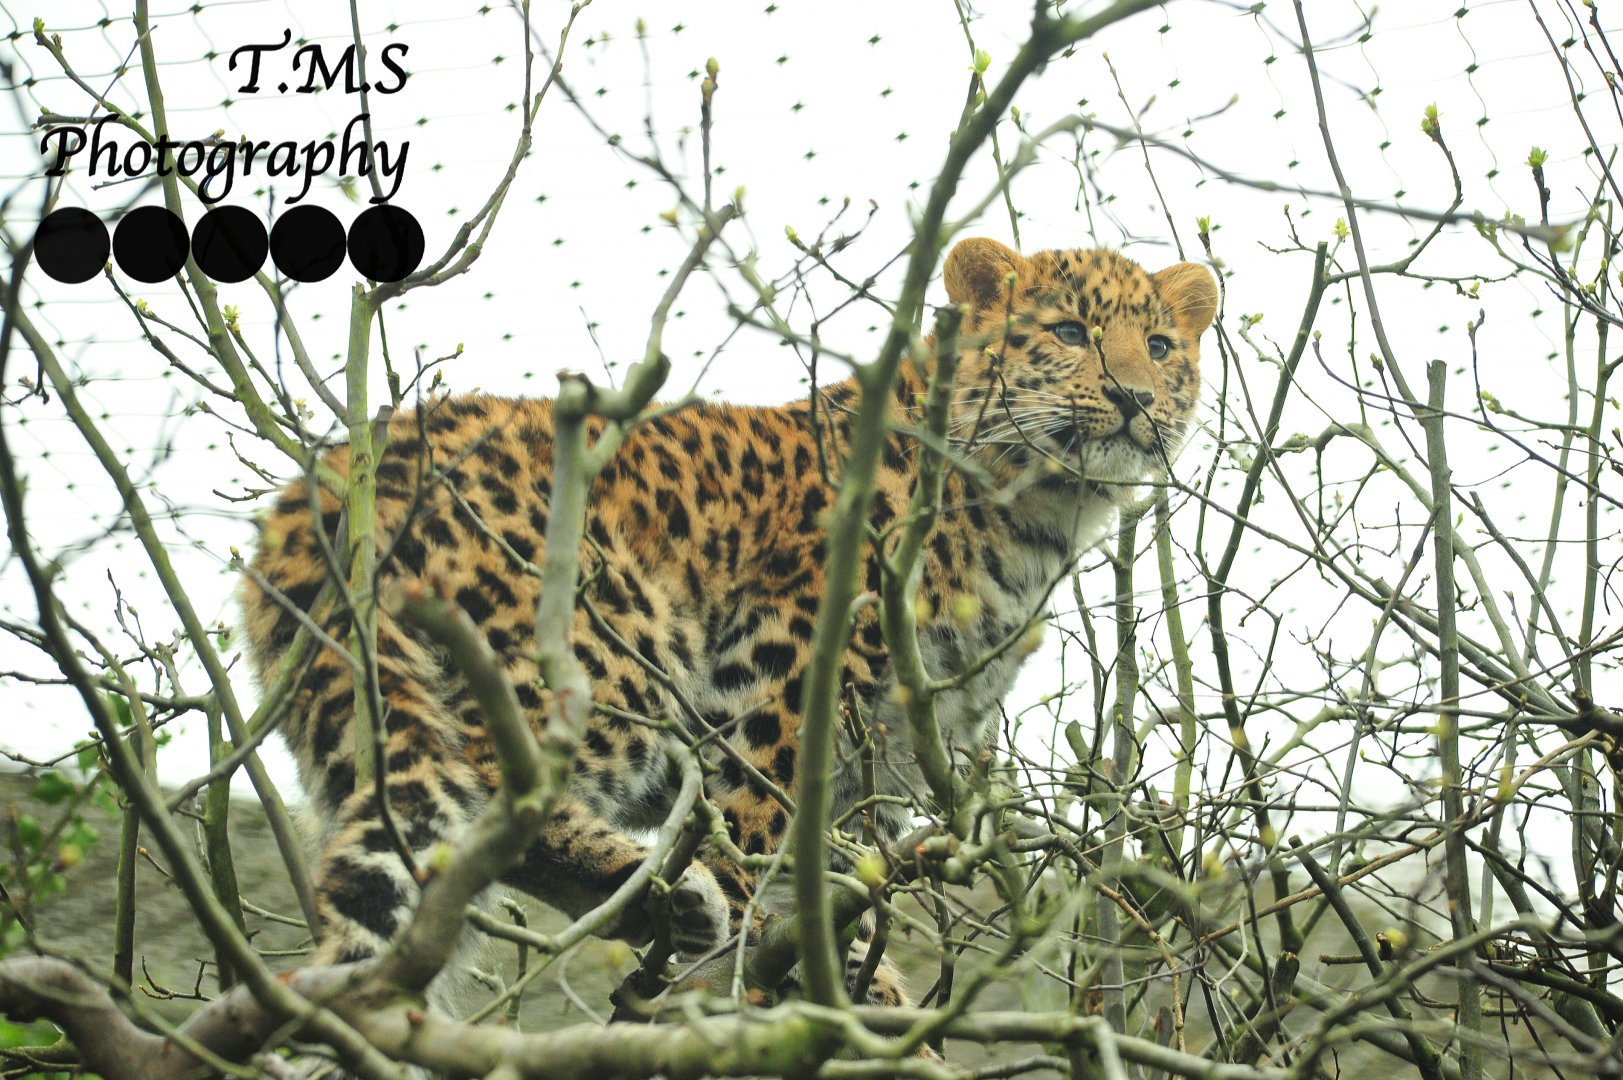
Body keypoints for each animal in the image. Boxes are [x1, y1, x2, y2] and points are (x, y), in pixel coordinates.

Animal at [240, 236, 1218, 1026]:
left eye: (1159, 347)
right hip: (603, 643)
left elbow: (845, 867)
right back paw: (680, 901)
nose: (1135, 397)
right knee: (492, 790)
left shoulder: (892, 748)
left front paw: (849, 978)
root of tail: (320, 486)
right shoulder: (785, 679)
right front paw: (793, 969)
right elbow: (768, 836)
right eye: (1068, 332)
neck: (1041, 511)